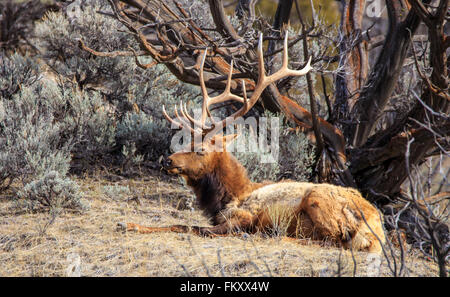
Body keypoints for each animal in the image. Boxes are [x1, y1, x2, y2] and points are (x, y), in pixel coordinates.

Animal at [117, 33, 386, 253]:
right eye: (185, 141)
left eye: (201, 150)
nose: (168, 160)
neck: (225, 197)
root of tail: (376, 231)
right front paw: (129, 224)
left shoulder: (243, 216)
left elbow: (189, 227)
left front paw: (131, 225)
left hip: (318, 202)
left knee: (332, 241)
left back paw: (275, 236)